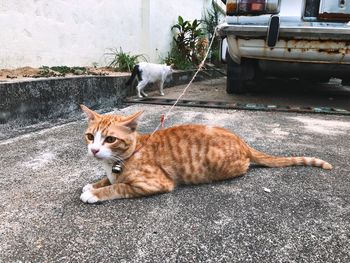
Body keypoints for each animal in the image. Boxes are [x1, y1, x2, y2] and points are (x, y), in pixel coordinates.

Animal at [79, 105, 330, 204]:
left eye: (110, 139)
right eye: (90, 137)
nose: (94, 150)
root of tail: (241, 140)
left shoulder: (154, 183)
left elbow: (119, 187)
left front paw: (95, 193)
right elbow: (108, 180)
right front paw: (95, 184)